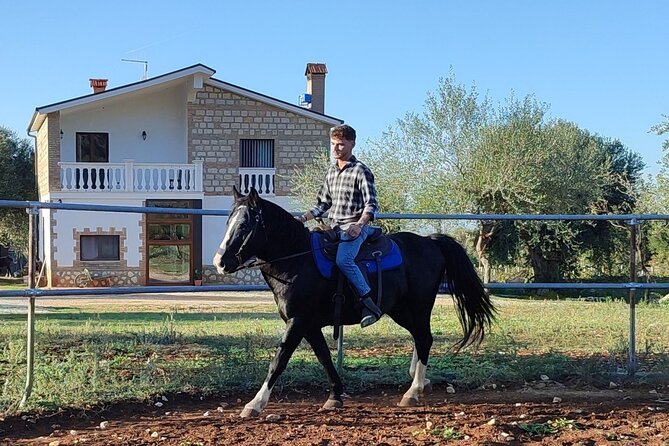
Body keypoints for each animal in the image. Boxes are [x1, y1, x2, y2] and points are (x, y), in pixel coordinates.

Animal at [214, 186, 496, 416]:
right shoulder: (310, 326)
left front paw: (255, 404)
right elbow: (325, 358)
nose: (220, 262)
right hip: (402, 311)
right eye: (228, 222)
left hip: (417, 307)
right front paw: (335, 396)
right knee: (420, 338)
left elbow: (279, 360)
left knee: (425, 339)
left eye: (245, 224)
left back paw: (413, 391)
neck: (297, 261)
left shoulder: (298, 321)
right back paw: (419, 381)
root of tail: (430, 242)